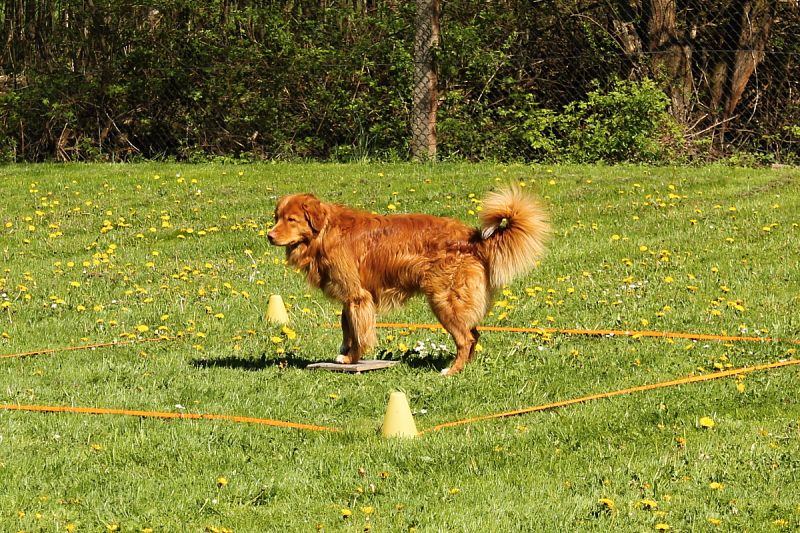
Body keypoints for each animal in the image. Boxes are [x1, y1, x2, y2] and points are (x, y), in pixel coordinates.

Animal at [268, 186, 552, 374]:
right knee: (475, 333)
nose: (269, 235)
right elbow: (347, 327)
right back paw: (465, 368)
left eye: (291, 220)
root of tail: (472, 238)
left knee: (466, 338)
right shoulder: (350, 298)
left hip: (443, 300)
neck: (325, 232)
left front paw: (351, 360)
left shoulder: (358, 296)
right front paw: (344, 354)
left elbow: (359, 332)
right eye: (277, 218)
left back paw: (452, 371)